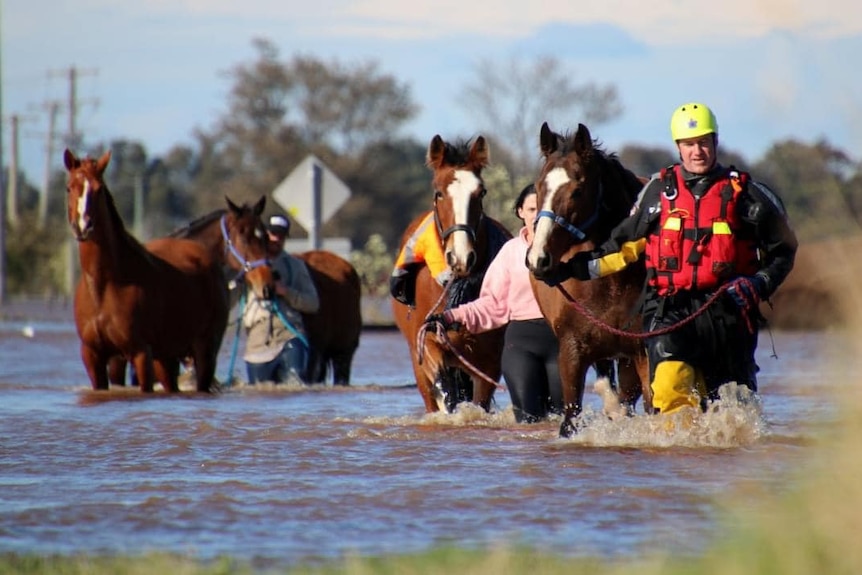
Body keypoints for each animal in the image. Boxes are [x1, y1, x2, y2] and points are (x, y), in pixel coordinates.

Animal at [65, 148, 230, 394]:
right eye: (69, 187)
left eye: (99, 188)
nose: (84, 226)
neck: (105, 286)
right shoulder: (95, 356)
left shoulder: (141, 353)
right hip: (166, 356)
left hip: (205, 350)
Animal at [392, 135, 512, 414]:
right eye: (439, 192)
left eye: (481, 192)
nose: (461, 257)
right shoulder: (428, 342)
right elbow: (445, 391)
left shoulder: (489, 360)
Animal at [528, 122, 656, 436]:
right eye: (538, 187)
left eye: (577, 190)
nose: (539, 259)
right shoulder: (571, 353)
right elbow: (570, 417)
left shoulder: (641, 352)